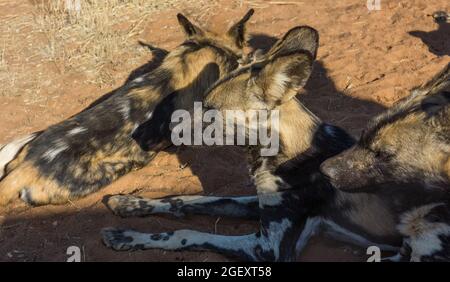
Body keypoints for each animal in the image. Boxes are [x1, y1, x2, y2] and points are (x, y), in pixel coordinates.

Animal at [102, 24, 450, 262]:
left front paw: (128, 237)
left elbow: (186, 232)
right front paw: (130, 205)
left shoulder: (267, 249)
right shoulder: (256, 203)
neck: (283, 153)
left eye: (211, 111)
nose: (151, 133)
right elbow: (185, 200)